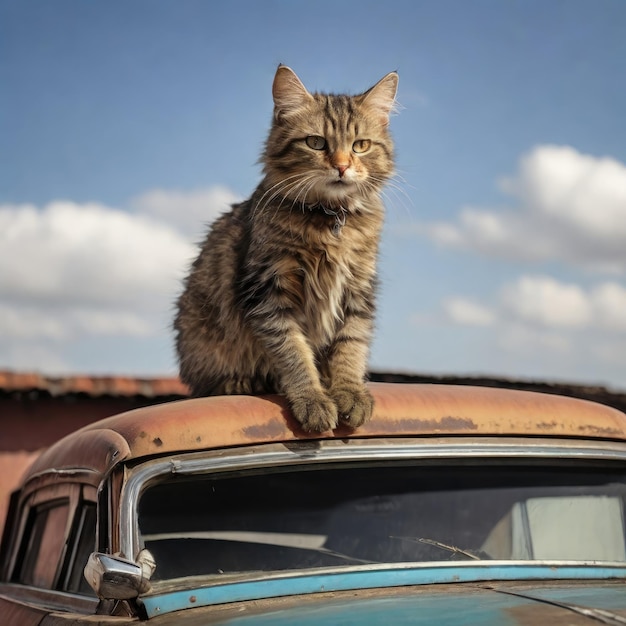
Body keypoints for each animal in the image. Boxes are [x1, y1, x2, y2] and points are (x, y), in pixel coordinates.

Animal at [176, 66, 398, 432]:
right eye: (316, 143)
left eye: (361, 146)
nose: (342, 166)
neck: (329, 220)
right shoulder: (269, 290)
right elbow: (293, 352)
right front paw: (313, 399)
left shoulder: (357, 288)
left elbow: (350, 346)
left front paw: (349, 391)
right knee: (208, 383)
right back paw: (242, 382)